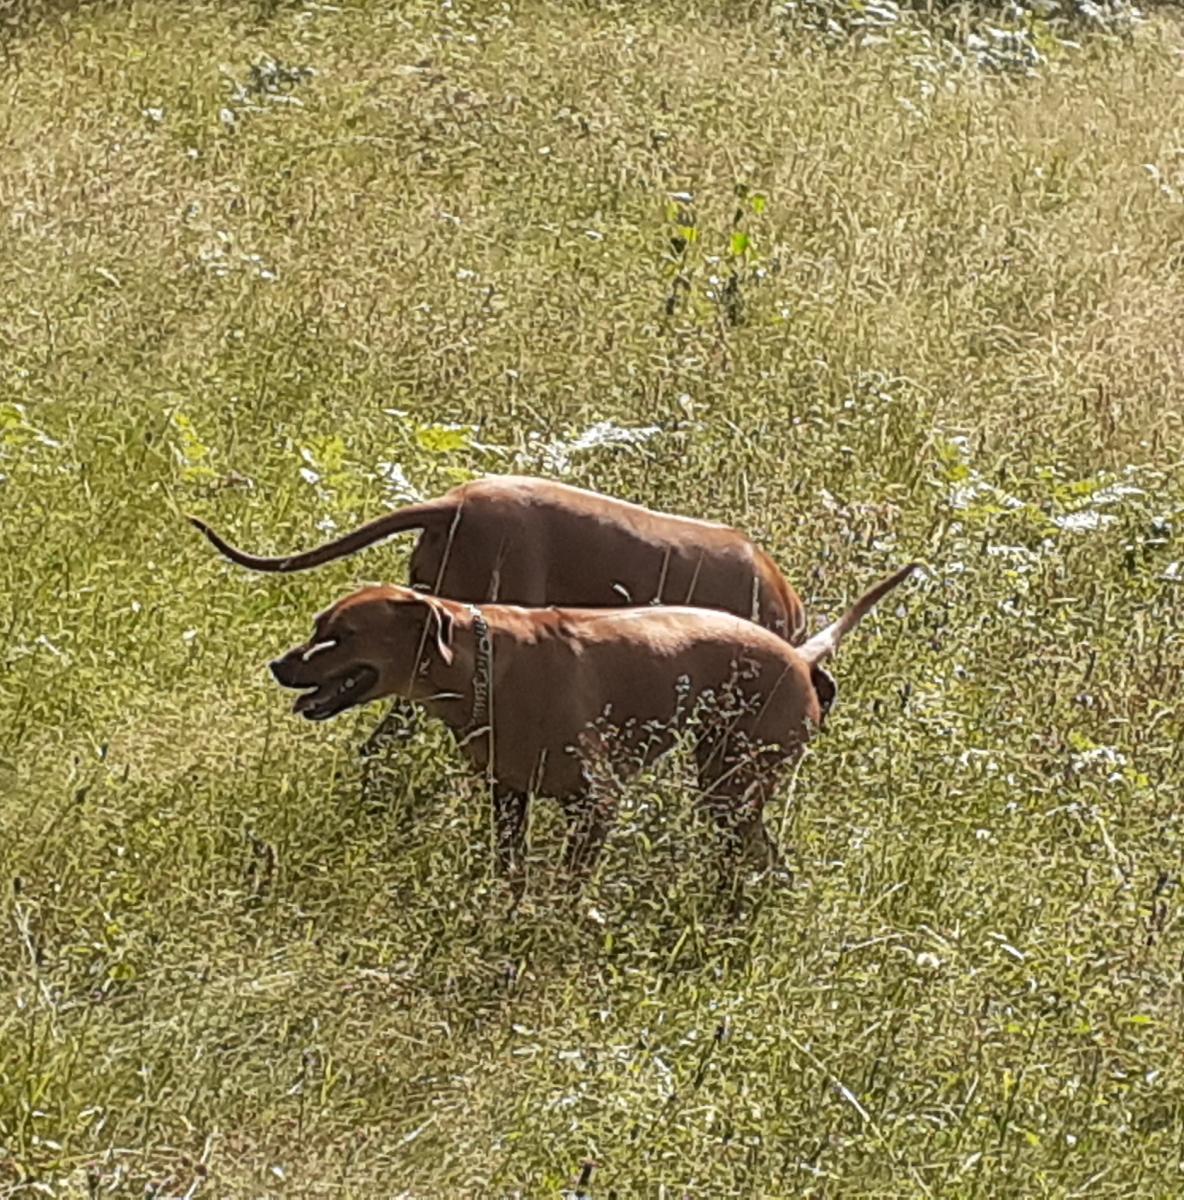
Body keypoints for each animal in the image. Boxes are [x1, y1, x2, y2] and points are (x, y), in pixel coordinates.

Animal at [268, 561, 916, 883]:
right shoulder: (508, 795)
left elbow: (568, 887)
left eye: (342, 635)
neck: (484, 668)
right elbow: (513, 872)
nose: (277, 664)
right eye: (318, 625)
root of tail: (803, 658)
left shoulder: (596, 802)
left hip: (731, 786)